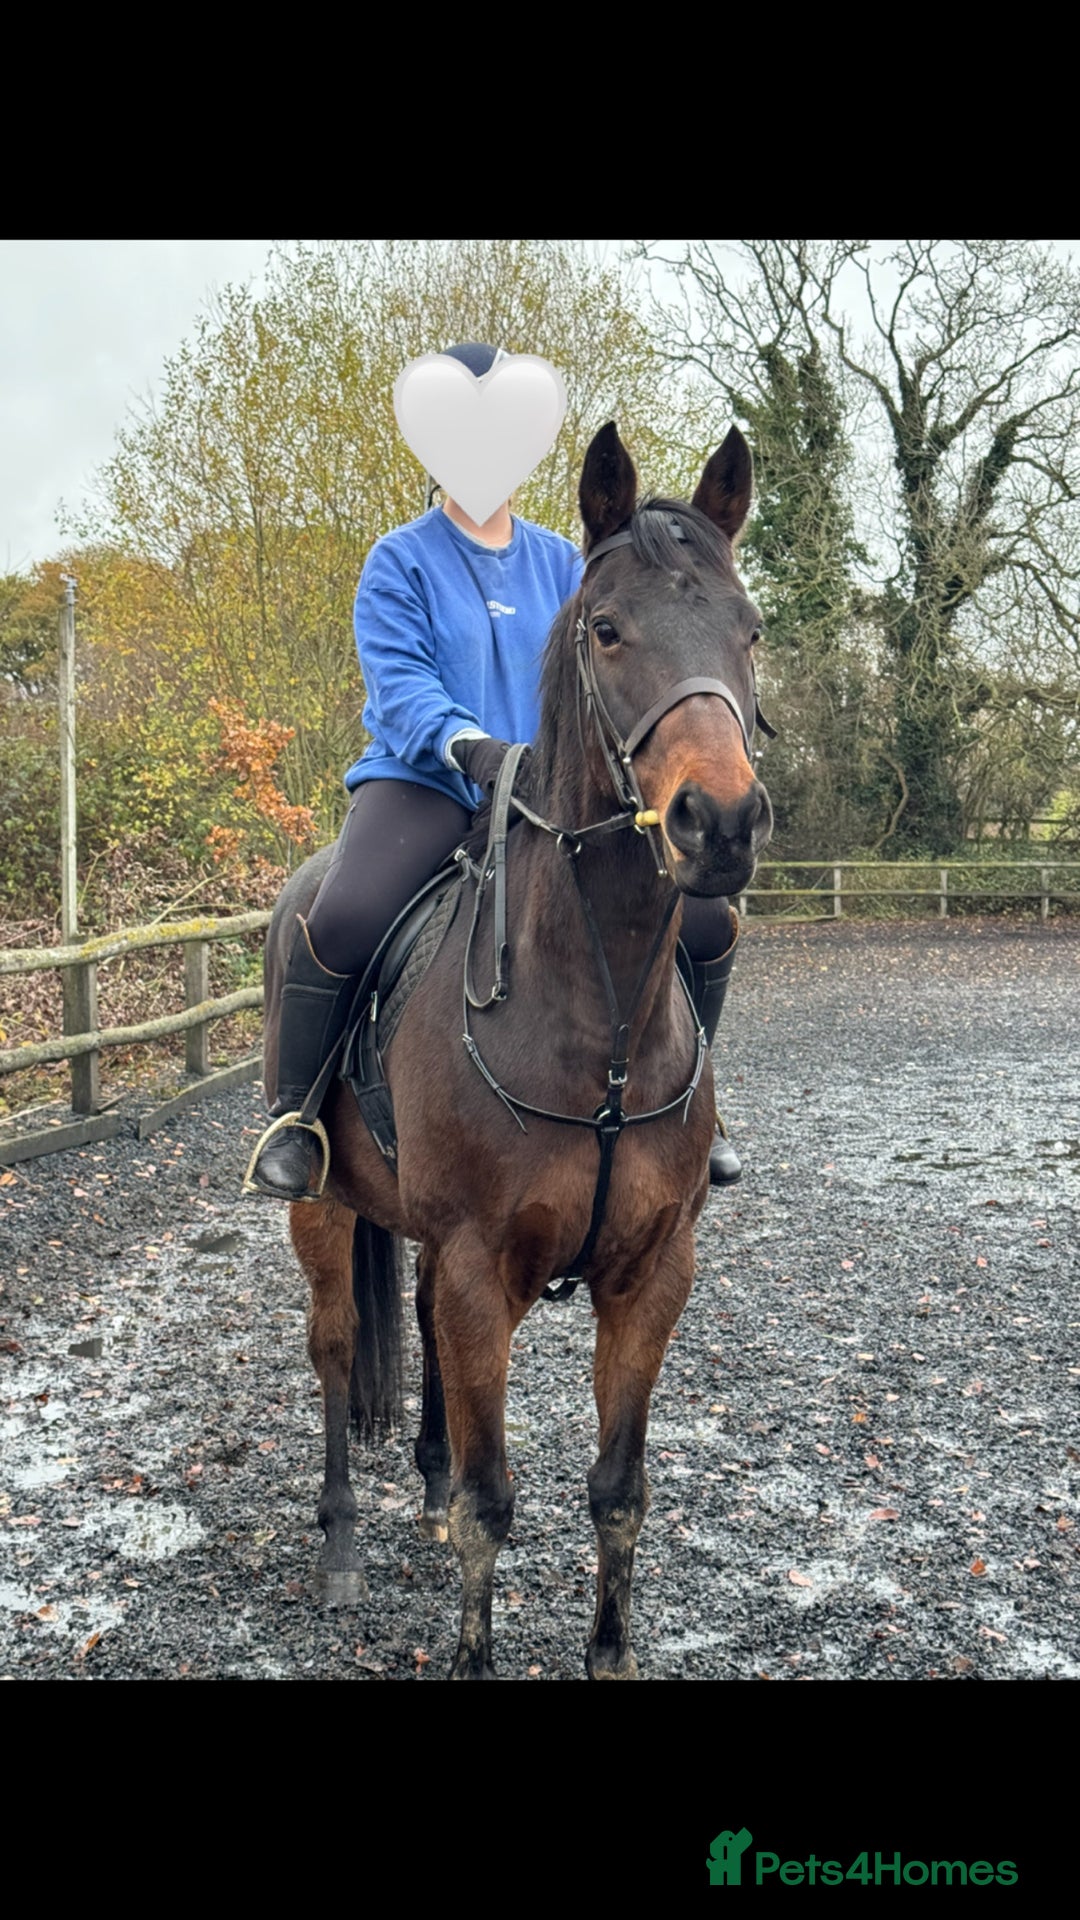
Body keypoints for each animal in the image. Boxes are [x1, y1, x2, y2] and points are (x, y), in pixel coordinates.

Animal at [260, 421, 773, 1678]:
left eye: (749, 630)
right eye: (608, 629)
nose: (721, 826)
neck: (595, 1025)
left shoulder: (650, 1276)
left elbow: (618, 1491)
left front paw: (611, 1653)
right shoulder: (480, 1268)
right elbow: (497, 1502)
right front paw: (472, 1647)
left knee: (419, 1351)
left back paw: (422, 1493)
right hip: (325, 1210)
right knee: (335, 1351)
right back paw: (341, 1541)